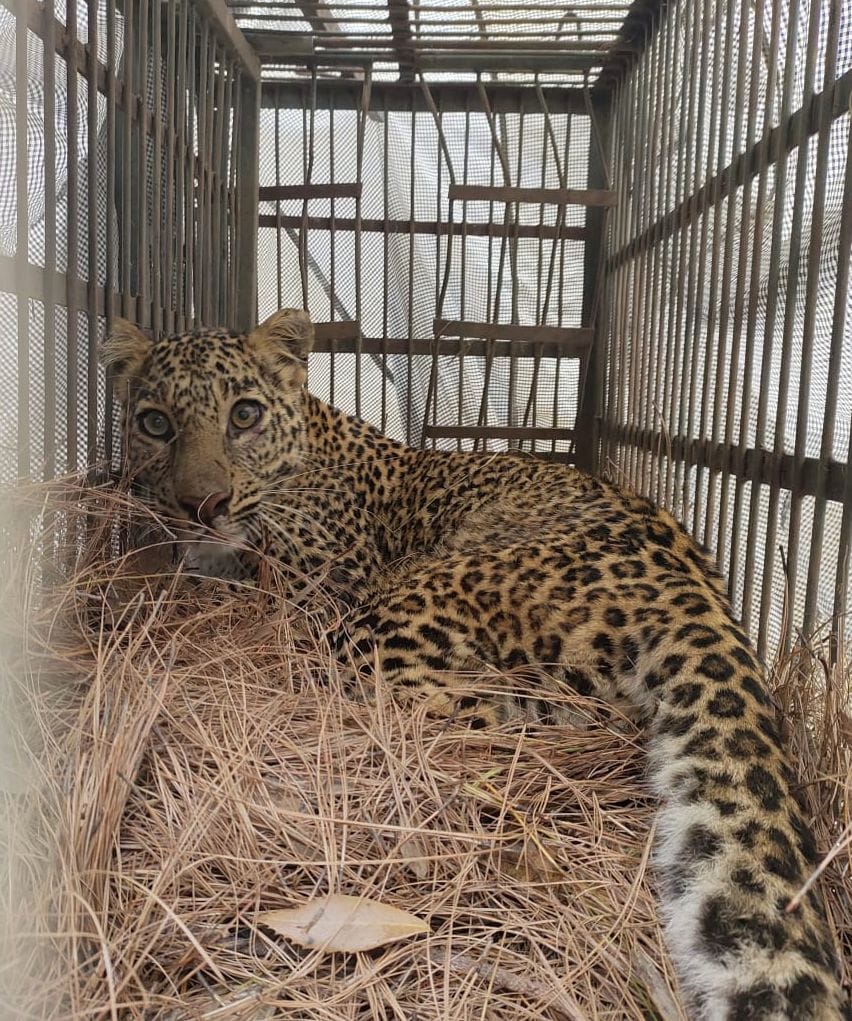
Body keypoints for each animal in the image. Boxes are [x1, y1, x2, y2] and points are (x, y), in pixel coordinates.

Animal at [100, 308, 849, 1020]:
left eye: (244, 415)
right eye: (155, 423)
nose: (202, 505)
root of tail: (695, 587)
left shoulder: (321, 587)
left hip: (393, 621)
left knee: (466, 721)